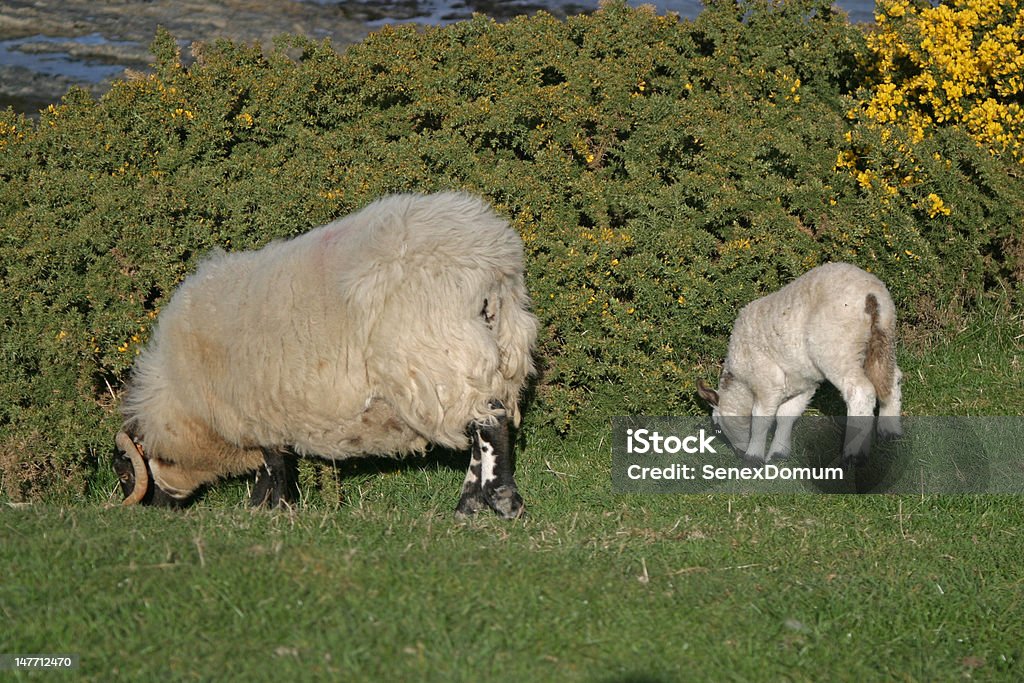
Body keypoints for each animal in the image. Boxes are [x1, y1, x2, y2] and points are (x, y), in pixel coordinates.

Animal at [114, 189, 536, 520]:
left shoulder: (256, 405)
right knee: (487, 419)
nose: (155, 512)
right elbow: (273, 462)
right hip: (502, 345)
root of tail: (490, 262)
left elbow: (273, 464)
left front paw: (269, 508)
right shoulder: (266, 410)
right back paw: (468, 508)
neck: (181, 398)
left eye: (125, 474)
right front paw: (264, 507)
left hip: (442, 352)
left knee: (490, 422)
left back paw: (501, 501)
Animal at [696, 260, 905, 464]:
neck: (741, 381)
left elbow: (761, 420)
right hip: (883, 339)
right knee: (890, 379)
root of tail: (871, 294)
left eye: (718, 429)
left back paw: (854, 454)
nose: (738, 454)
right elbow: (786, 416)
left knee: (861, 392)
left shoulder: (766, 381)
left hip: (837, 348)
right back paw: (890, 431)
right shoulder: (804, 383)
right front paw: (778, 453)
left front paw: (753, 457)